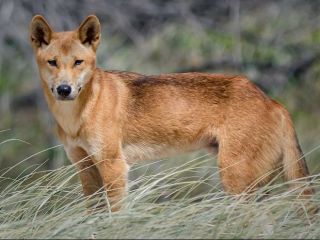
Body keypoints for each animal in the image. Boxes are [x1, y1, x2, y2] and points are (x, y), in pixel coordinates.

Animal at [30, 15, 316, 211]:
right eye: (52, 62)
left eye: (78, 62)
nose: (64, 89)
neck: (77, 117)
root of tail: (274, 102)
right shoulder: (85, 168)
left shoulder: (114, 166)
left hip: (235, 180)